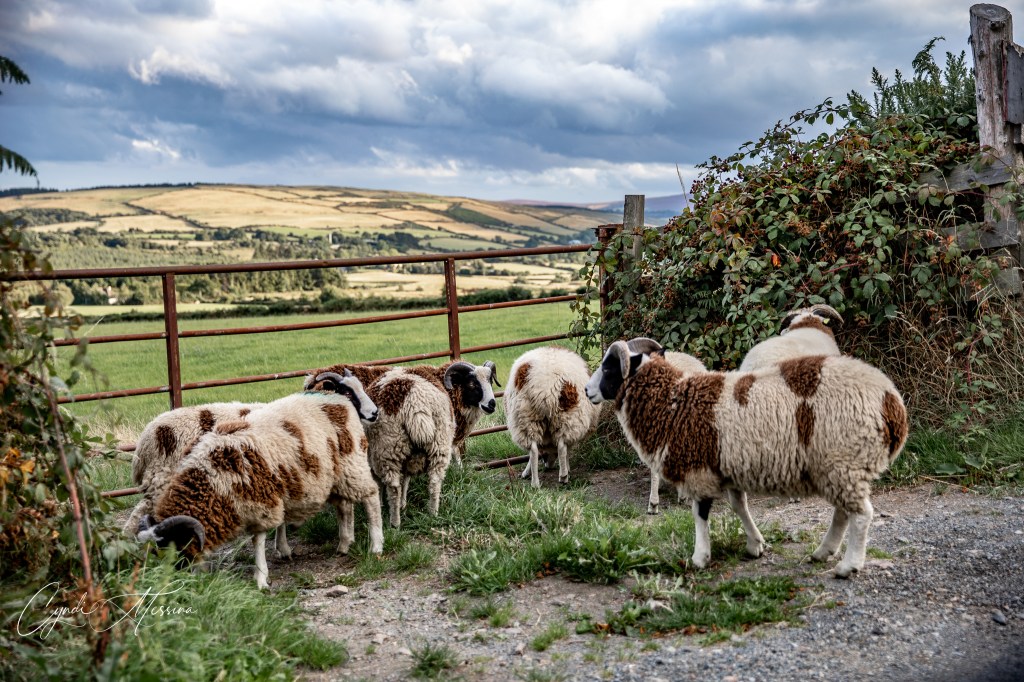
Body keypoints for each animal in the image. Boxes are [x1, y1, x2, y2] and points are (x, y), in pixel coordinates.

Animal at [137, 370, 384, 589]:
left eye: (172, 547)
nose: (374, 413)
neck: (211, 478)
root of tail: (338, 401)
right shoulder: (274, 489)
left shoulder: (262, 499)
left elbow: (258, 539)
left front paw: (261, 578)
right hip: (336, 473)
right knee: (345, 505)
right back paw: (344, 544)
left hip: (352, 464)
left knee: (371, 497)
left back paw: (376, 546)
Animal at [304, 360, 499, 527]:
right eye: (473, 384)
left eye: (490, 380)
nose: (492, 404)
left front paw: (399, 504)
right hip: (410, 446)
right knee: (418, 483)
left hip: (403, 447)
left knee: (408, 484)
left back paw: (412, 518)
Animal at [505, 346, 601, 488]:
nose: (547, 466)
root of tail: (544, 386)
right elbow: (567, 449)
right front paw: (567, 468)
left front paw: (526, 472)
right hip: (567, 418)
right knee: (561, 446)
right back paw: (563, 476)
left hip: (525, 418)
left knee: (533, 450)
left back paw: (535, 483)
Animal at [584, 337, 908, 578]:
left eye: (609, 368)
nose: (587, 391)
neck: (673, 401)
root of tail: (892, 402)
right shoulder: (726, 467)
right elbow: (739, 506)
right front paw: (756, 545)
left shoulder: (699, 470)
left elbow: (700, 514)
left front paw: (700, 557)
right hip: (836, 467)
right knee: (843, 512)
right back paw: (823, 552)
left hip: (844, 461)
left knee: (861, 514)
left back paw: (848, 565)